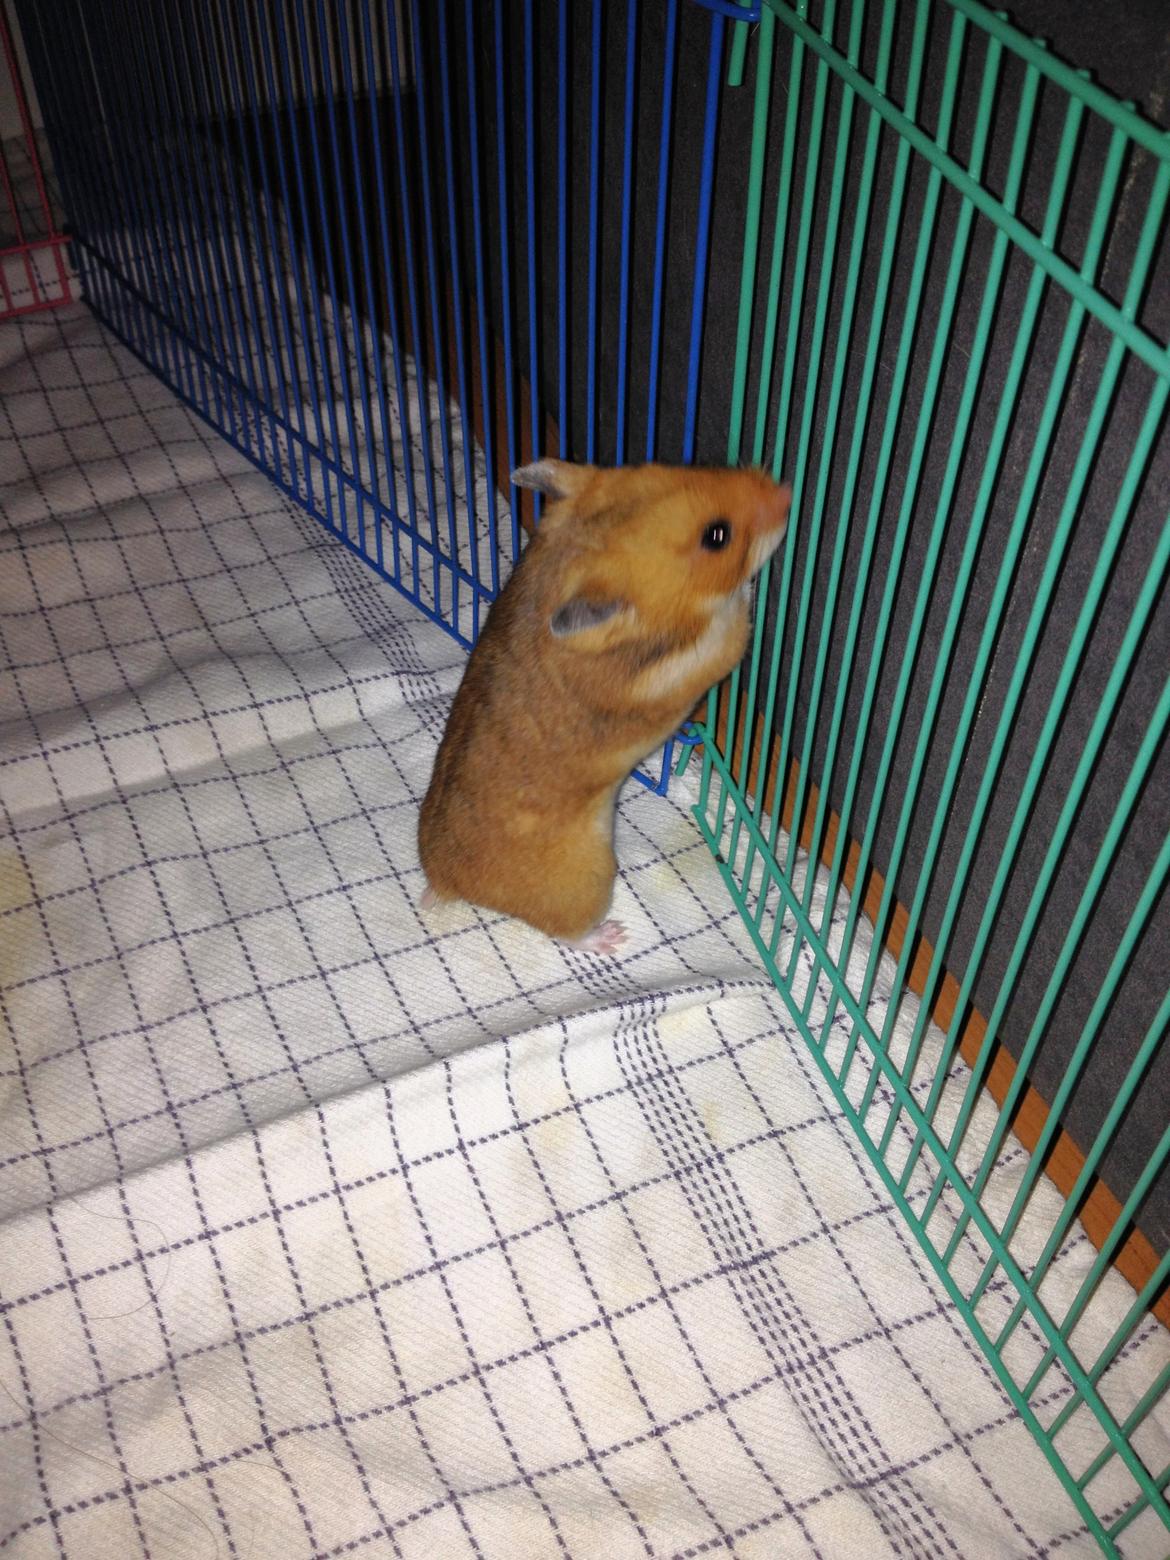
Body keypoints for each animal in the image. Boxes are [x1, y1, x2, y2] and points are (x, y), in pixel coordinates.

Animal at [418, 460, 791, 953]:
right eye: (717, 536)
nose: (788, 491)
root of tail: (446, 882)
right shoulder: (697, 661)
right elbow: (731, 630)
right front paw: (747, 594)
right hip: (591, 881)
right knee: (567, 932)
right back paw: (612, 937)